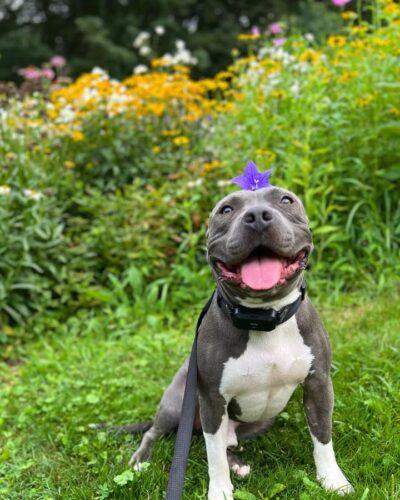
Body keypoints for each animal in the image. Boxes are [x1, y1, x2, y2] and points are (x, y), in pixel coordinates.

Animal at [126, 188, 352, 500]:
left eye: (286, 200)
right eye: (226, 209)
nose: (256, 215)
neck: (262, 317)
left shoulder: (319, 384)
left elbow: (323, 437)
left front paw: (333, 480)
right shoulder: (212, 400)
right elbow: (214, 458)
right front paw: (220, 492)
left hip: (261, 419)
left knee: (227, 444)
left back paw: (238, 464)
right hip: (176, 403)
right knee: (159, 433)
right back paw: (141, 459)